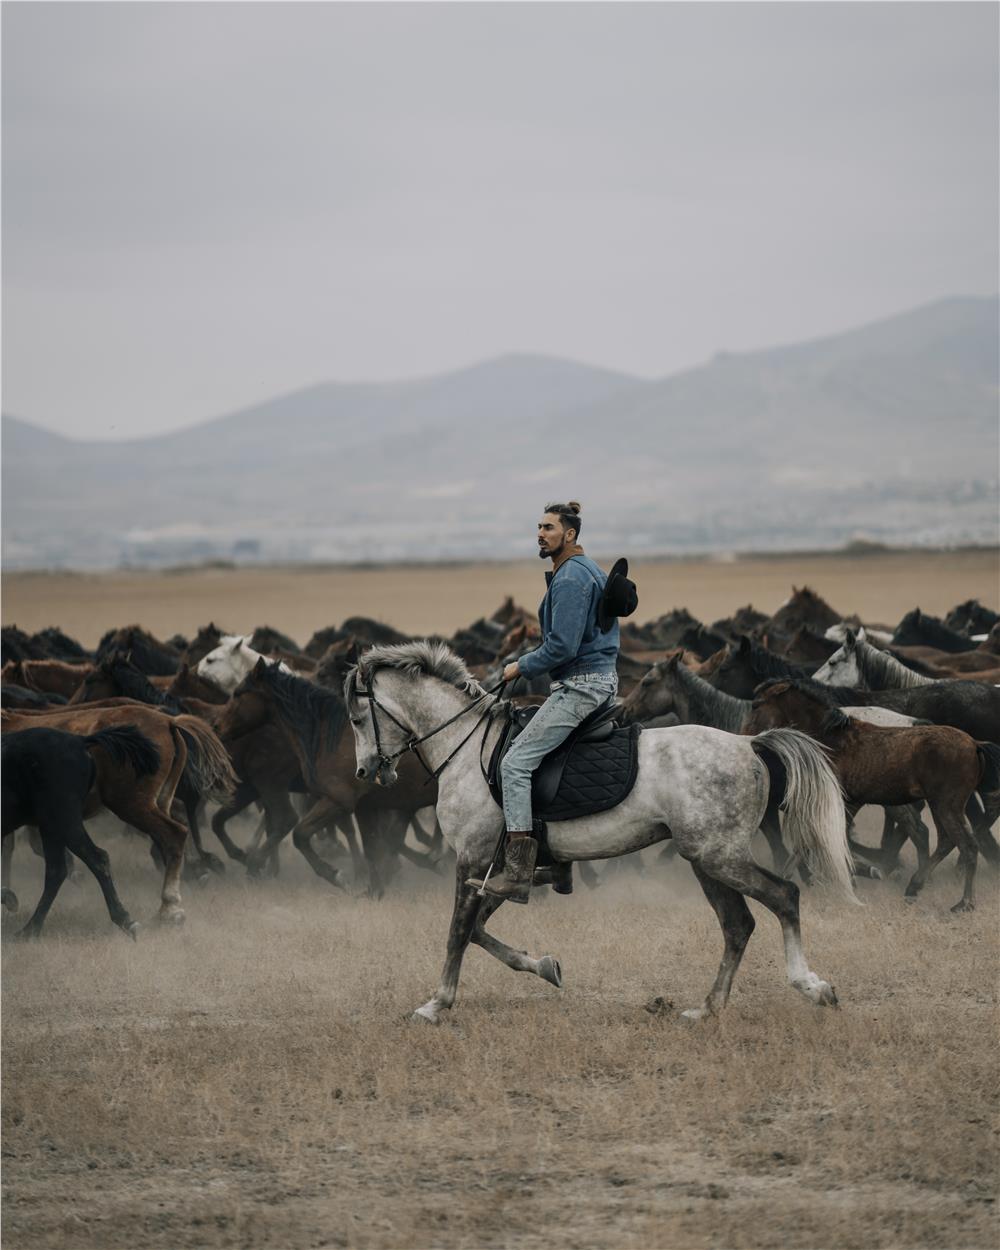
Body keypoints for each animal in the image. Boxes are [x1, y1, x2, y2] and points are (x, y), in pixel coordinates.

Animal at [345, 645, 860, 1025]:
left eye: (355, 718)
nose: (366, 771)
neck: (469, 747)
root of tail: (749, 743)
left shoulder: (472, 859)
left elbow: (457, 932)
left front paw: (436, 1004)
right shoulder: (501, 869)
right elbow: (476, 930)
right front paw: (544, 966)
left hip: (718, 857)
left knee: (784, 897)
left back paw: (812, 986)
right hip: (705, 860)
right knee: (738, 925)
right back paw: (706, 1009)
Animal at [740, 680, 1000, 915]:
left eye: (756, 705)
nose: (745, 740)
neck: (831, 740)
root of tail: (975, 744)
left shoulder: (840, 801)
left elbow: (819, 840)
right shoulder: (851, 802)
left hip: (947, 805)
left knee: (966, 846)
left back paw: (964, 903)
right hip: (940, 805)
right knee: (946, 841)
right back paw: (914, 887)